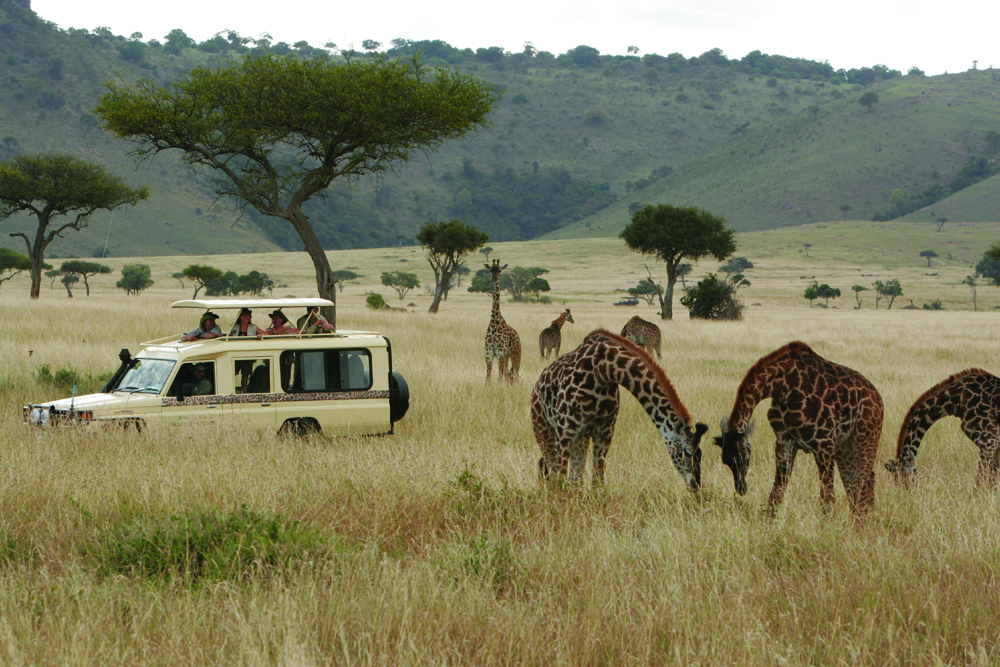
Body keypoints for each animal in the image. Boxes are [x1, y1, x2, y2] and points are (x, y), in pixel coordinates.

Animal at [532, 330, 712, 490]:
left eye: (700, 454)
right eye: (687, 452)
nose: (695, 485)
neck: (603, 370)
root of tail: (537, 383)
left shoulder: (604, 431)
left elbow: (597, 480)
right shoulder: (565, 429)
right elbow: (560, 477)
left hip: (580, 438)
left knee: (574, 477)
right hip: (545, 430)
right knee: (551, 469)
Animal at [720, 342, 884, 520]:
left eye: (745, 459)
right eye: (726, 461)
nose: (741, 488)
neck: (784, 388)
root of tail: (878, 398)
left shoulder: (824, 443)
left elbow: (827, 499)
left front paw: (828, 527)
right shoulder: (784, 441)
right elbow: (776, 493)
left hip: (865, 438)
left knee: (862, 486)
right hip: (844, 446)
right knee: (857, 487)